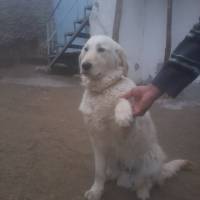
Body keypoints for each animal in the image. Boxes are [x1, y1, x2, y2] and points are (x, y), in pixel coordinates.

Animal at [79, 35, 190, 199]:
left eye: (101, 49)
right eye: (86, 49)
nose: (84, 65)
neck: (103, 90)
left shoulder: (128, 132)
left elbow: (122, 99)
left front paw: (123, 114)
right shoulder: (98, 143)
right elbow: (98, 172)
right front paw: (96, 190)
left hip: (152, 158)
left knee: (146, 182)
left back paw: (143, 192)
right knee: (113, 173)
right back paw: (110, 176)